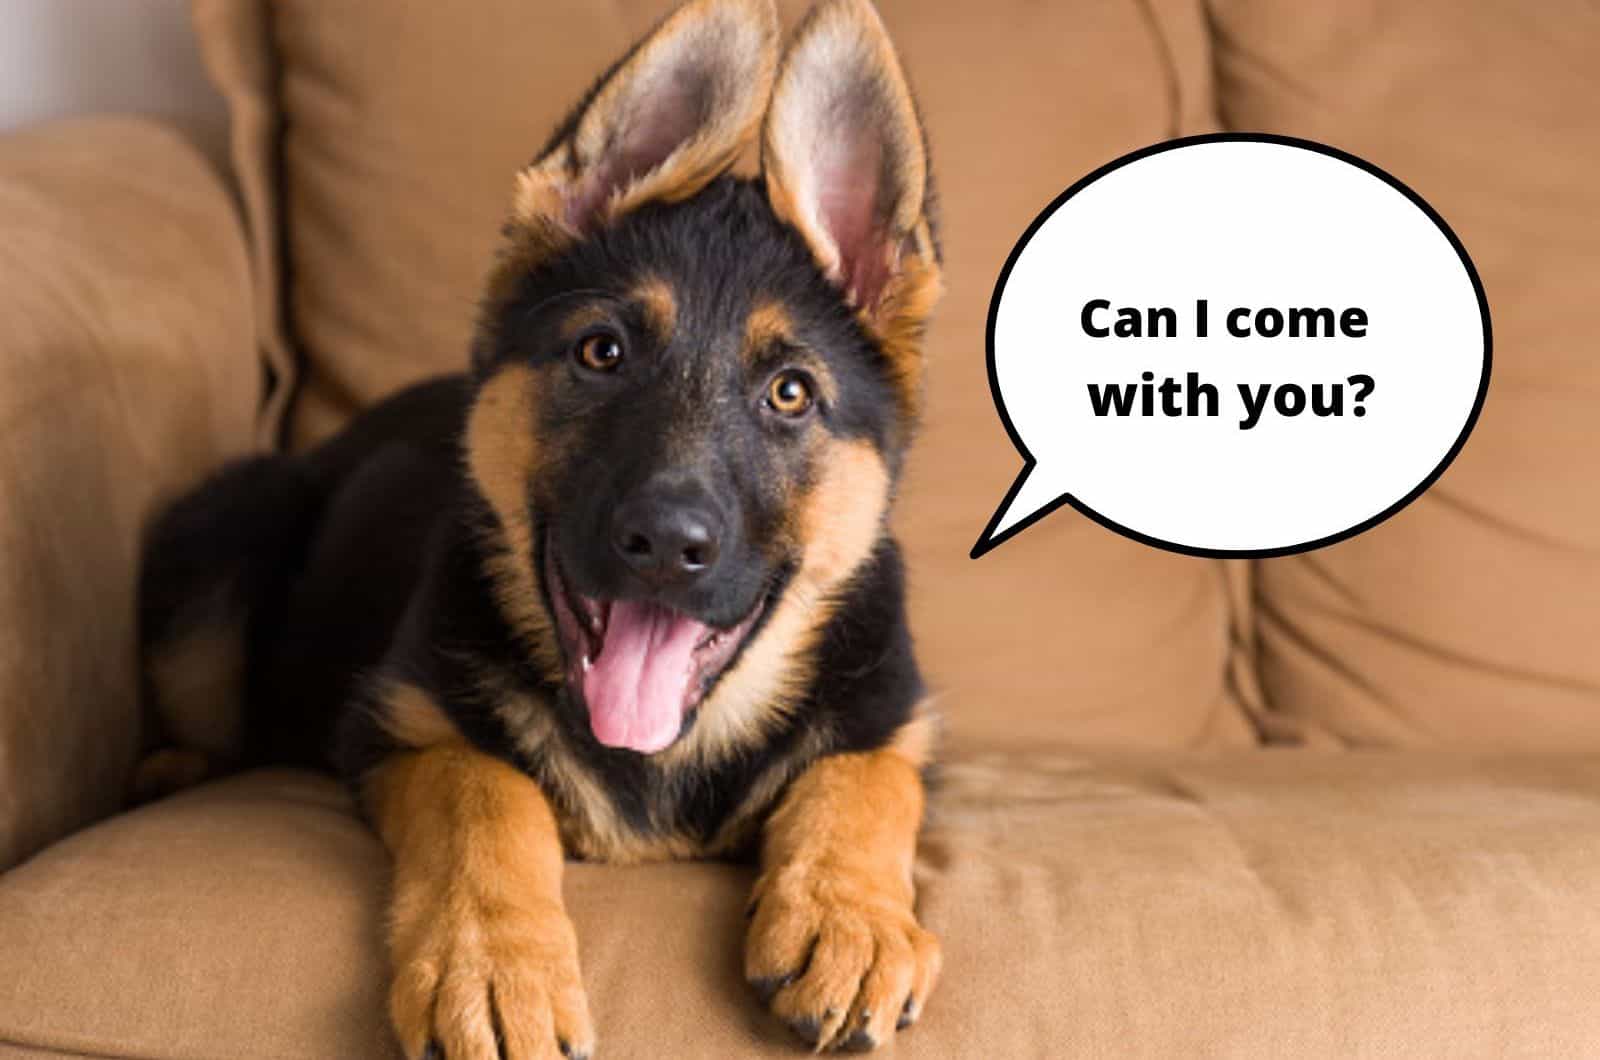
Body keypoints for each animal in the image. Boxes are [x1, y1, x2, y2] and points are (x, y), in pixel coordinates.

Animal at [140, 2, 934, 1056]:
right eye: (603, 351)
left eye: (792, 393)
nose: (667, 544)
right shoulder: (406, 727)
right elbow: (488, 798)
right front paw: (492, 967)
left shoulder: (893, 719)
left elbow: (864, 782)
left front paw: (850, 920)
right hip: (228, 534)